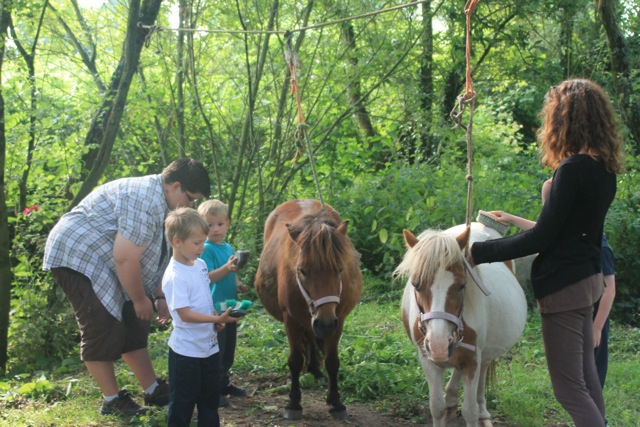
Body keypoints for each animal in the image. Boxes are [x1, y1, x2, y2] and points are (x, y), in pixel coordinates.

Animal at [256, 200, 364, 422]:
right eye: (302, 270)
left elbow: (332, 361)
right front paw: (294, 403)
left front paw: (336, 402)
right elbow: (295, 360)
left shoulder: (338, 320)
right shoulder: (291, 319)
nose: (325, 322)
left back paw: (316, 370)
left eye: (340, 269)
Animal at [398, 222, 528, 426]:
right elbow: (437, 407)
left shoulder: (472, 359)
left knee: (483, 372)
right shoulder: (428, 359)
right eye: (416, 285)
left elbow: (470, 411)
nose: (439, 344)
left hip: (484, 354)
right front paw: (446, 405)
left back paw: (483, 412)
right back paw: (451, 399)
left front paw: (475, 412)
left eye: (462, 285)